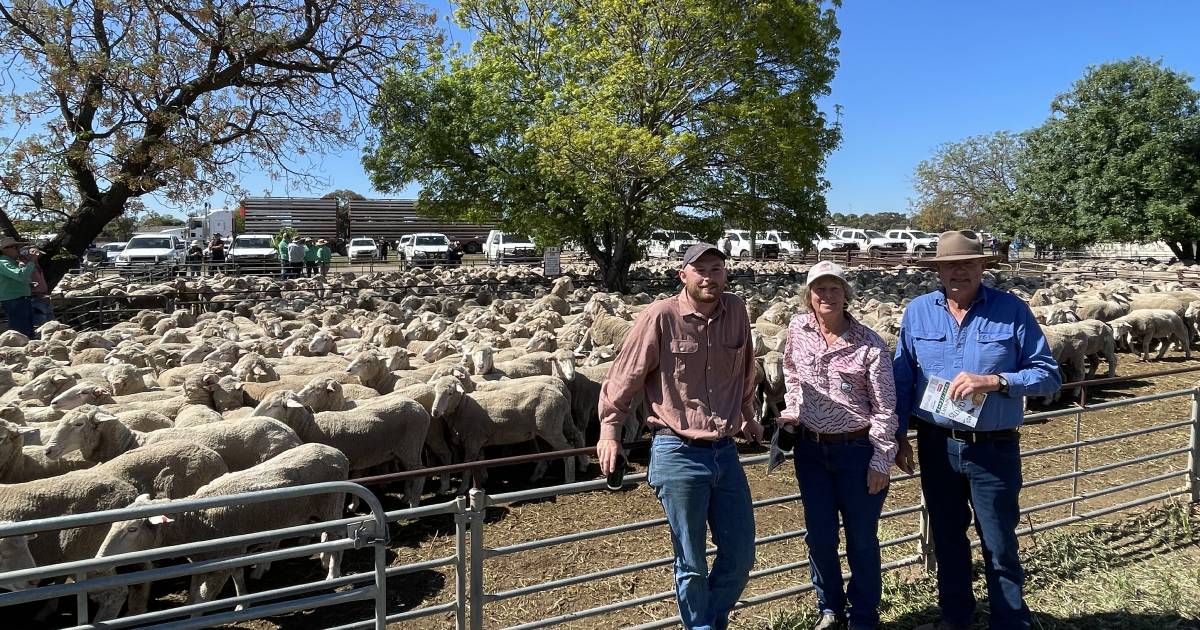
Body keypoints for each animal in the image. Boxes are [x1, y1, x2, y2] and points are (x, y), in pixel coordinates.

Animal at [98, 441, 348, 609]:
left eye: (132, 529)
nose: (100, 560)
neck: (195, 520)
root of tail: (336, 452)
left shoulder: (222, 561)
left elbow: (203, 598)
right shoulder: (215, 558)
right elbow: (222, 584)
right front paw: (242, 603)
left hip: (332, 506)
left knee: (340, 537)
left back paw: (333, 574)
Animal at [248, 391, 432, 508]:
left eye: (274, 405)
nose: (252, 418)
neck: (308, 426)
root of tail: (420, 408)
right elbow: (357, 481)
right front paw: (353, 505)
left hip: (411, 444)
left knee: (420, 471)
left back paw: (414, 503)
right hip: (403, 449)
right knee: (411, 472)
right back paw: (407, 497)